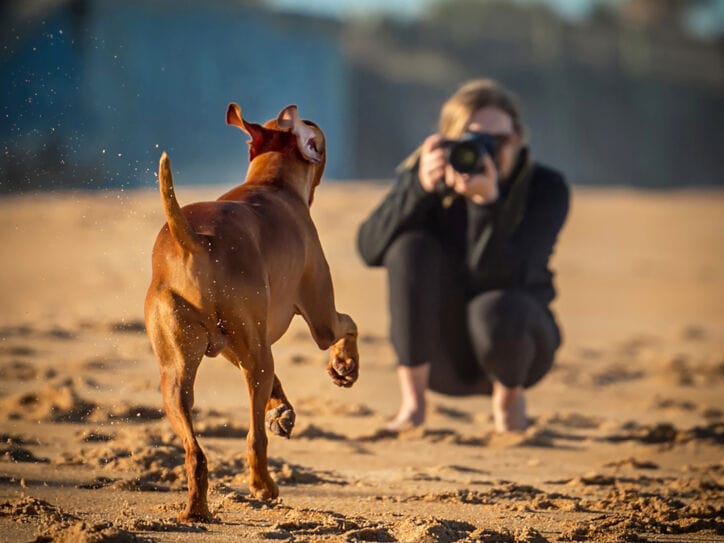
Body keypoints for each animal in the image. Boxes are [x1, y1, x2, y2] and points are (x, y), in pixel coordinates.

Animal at [144, 103, 360, 524]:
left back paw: (196, 508)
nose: (302, 111)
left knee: (195, 451)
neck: (270, 183)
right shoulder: (320, 318)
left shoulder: (234, 346)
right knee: (253, 436)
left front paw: (283, 412)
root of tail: (192, 241)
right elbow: (347, 325)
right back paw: (263, 486)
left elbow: (276, 388)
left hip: (175, 373)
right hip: (258, 355)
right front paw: (345, 365)